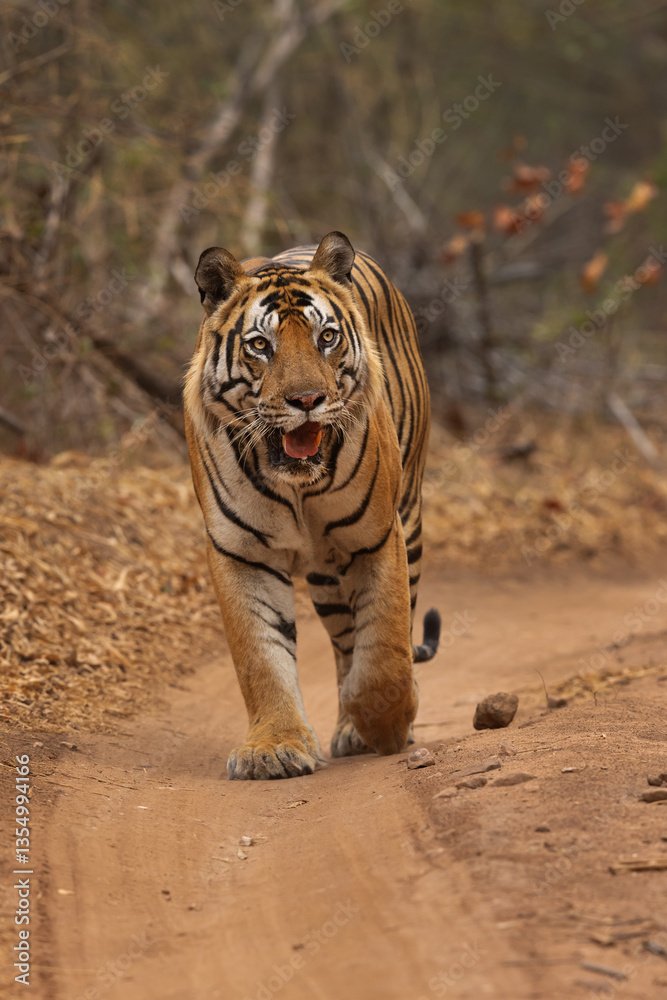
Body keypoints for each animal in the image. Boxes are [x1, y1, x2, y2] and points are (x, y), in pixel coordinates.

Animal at [184, 231, 441, 780]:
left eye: (327, 337)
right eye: (261, 345)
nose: (307, 400)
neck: (296, 488)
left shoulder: (377, 537)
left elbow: (385, 643)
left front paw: (385, 723)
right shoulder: (240, 552)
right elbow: (260, 655)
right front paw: (273, 748)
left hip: (408, 517)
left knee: (378, 635)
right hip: (326, 578)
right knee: (344, 643)